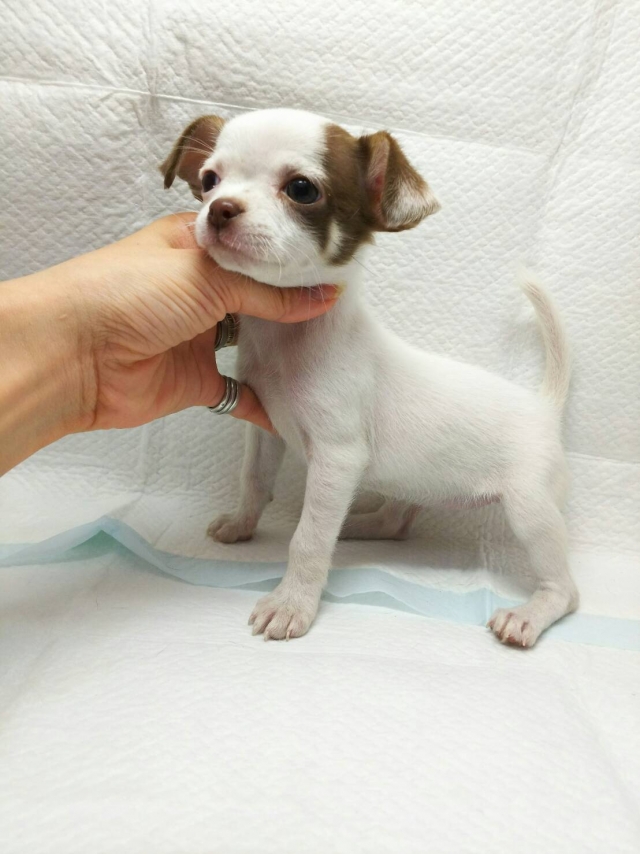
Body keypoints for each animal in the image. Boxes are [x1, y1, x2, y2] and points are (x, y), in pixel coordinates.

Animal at [161, 108, 579, 647]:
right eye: (210, 180)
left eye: (301, 189)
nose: (219, 209)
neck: (284, 341)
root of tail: (544, 405)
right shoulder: (266, 433)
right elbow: (253, 482)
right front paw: (241, 524)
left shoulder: (337, 459)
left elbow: (310, 539)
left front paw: (292, 604)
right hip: (419, 481)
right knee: (398, 519)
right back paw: (360, 524)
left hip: (530, 507)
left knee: (565, 588)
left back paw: (531, 613)